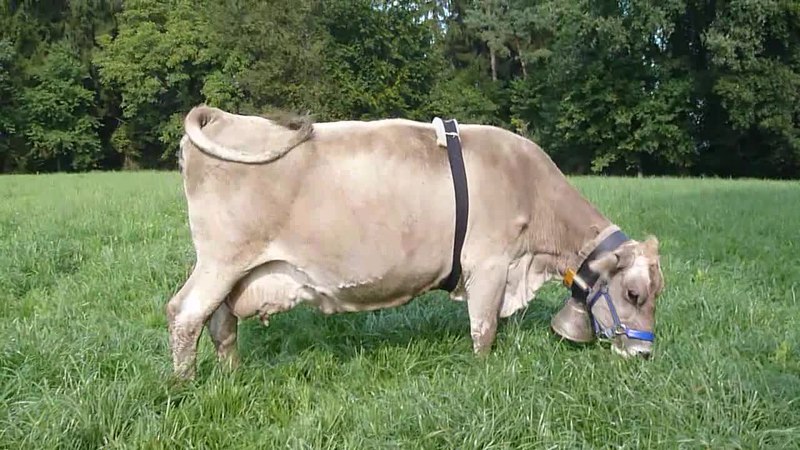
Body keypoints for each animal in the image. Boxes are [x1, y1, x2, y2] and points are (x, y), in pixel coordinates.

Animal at [170, 104, 668, 380]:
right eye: (633, 293)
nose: (645, 355)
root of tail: (223, 117)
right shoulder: (489, 262)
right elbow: (483, 329)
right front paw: (484, 374)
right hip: (220, 260)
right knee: (185, 314)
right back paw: (185, 386)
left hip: (232, 268)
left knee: (221, 322)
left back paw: (232, 377)